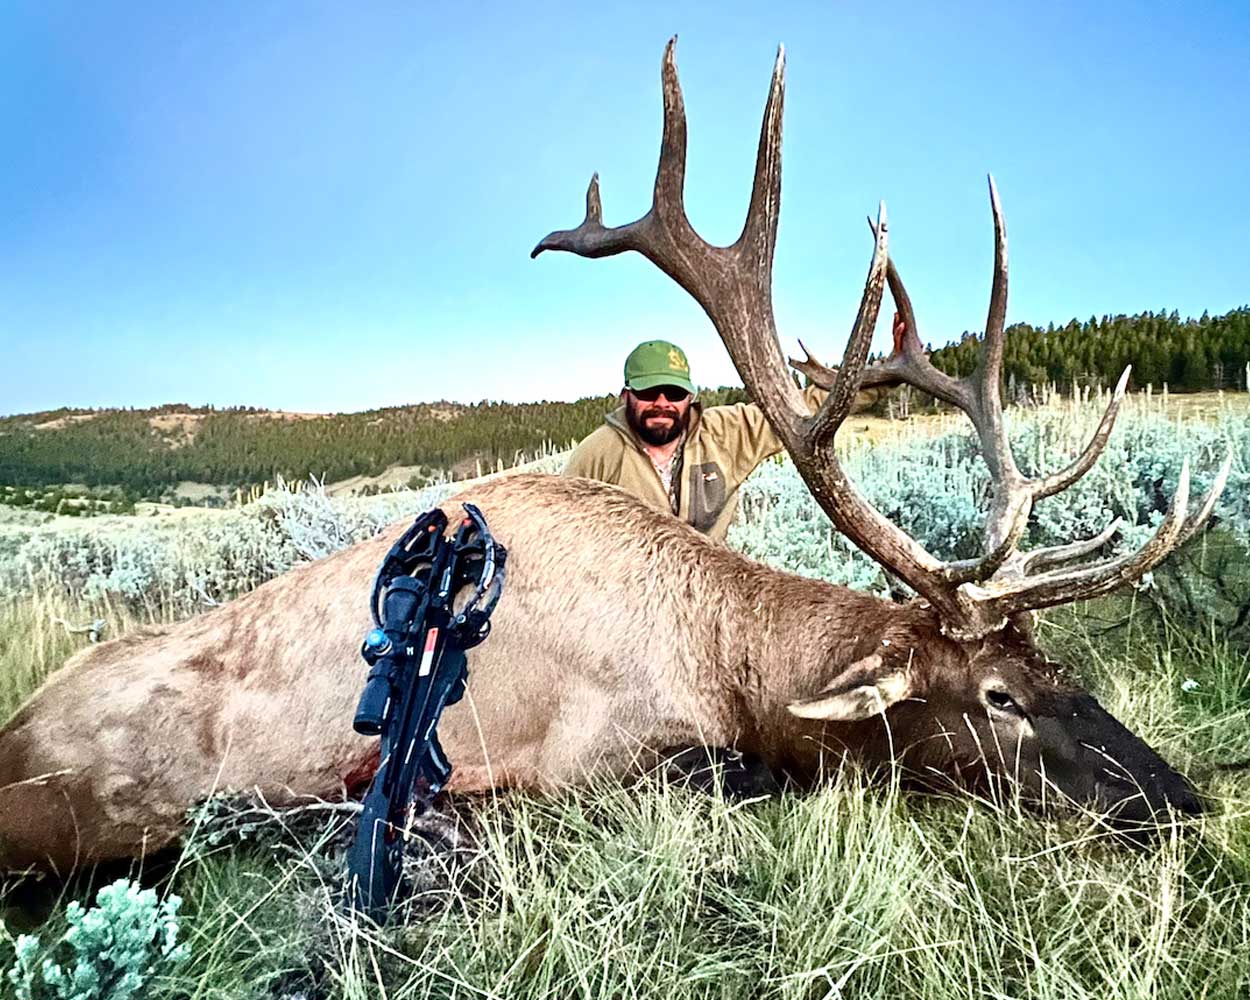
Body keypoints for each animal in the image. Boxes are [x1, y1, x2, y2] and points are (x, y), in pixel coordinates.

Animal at [0, 40, 1230, 875]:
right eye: (996, 697)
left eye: (1060, 667)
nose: (1181, 799)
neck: (728, 663)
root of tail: (14, 733)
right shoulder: (578, 755)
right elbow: (724, 773)